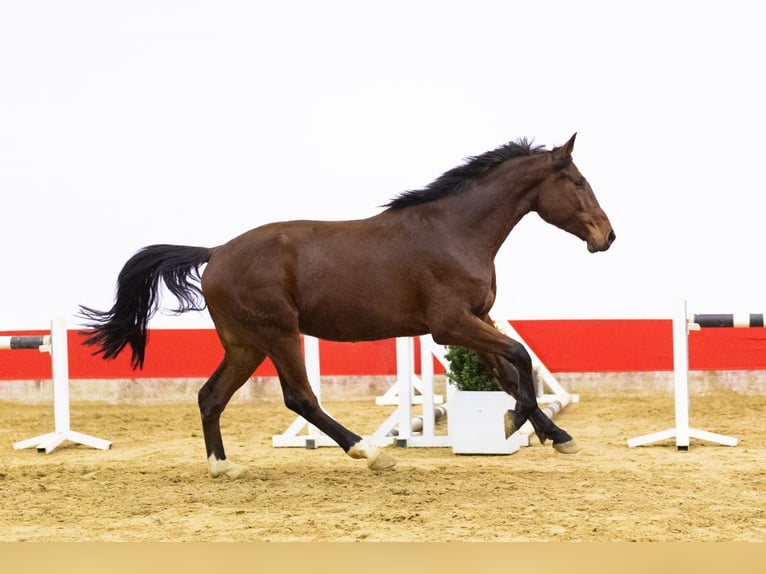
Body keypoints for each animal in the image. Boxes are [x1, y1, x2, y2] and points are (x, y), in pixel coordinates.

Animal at [79, 133, 615, 478]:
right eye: (578, 182)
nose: (607, 237)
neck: (455, 232)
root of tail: (215, 253)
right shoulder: (451, 325)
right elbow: (520, 359)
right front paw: (520, 422)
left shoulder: (476, 319)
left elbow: (507, 372)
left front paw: (554, 434)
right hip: (279, 335)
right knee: (300, 398)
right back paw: (372, 453)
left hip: (245, 346)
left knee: (211, 396)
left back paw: (223, 467)